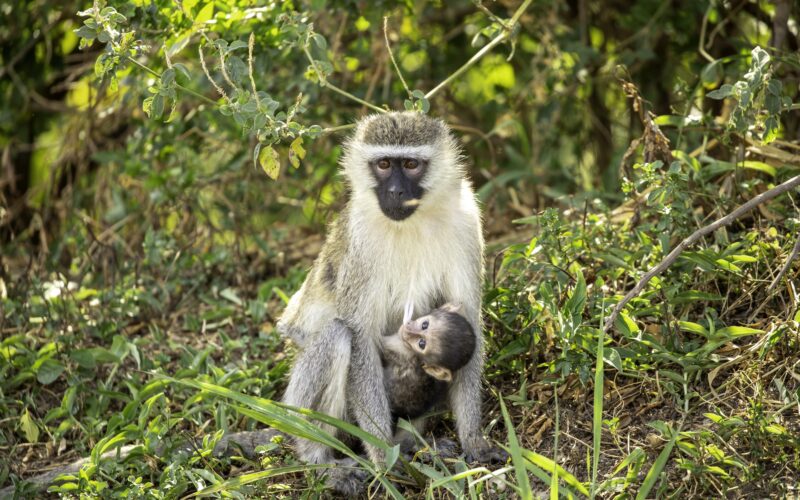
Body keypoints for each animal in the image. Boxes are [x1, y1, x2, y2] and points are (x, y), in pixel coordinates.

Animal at [277, 111, 505, 495]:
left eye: (411, 165)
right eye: (383, 164)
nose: (396, 191)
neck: (413, 222)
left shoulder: (466, 220)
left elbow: (470, 322)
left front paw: (473, 439)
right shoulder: (360, 240)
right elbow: (360, 336)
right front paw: (385, 460)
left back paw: (414, 443)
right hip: (299, 405)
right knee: (337, 335)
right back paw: (321, 462)